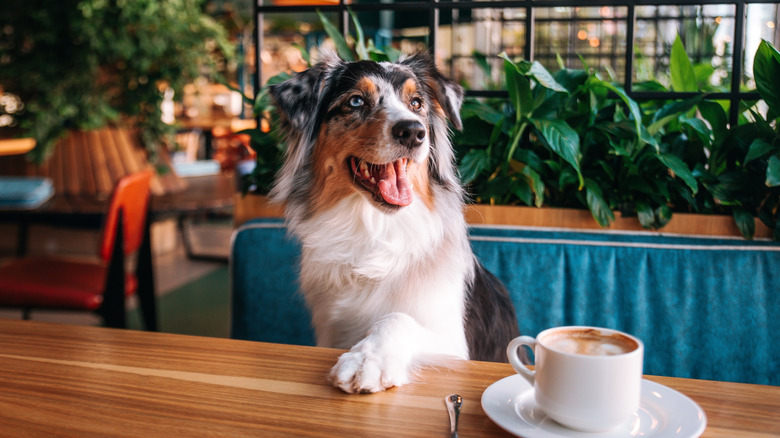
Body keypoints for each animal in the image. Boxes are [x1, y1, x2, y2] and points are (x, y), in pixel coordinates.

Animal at [268, 51, 516, 394]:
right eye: (356, 101)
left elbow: (398, 318)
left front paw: (366, 360)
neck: (374, 228)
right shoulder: (330, 331)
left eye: (416, 103)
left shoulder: (454, 343)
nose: (413, 131)